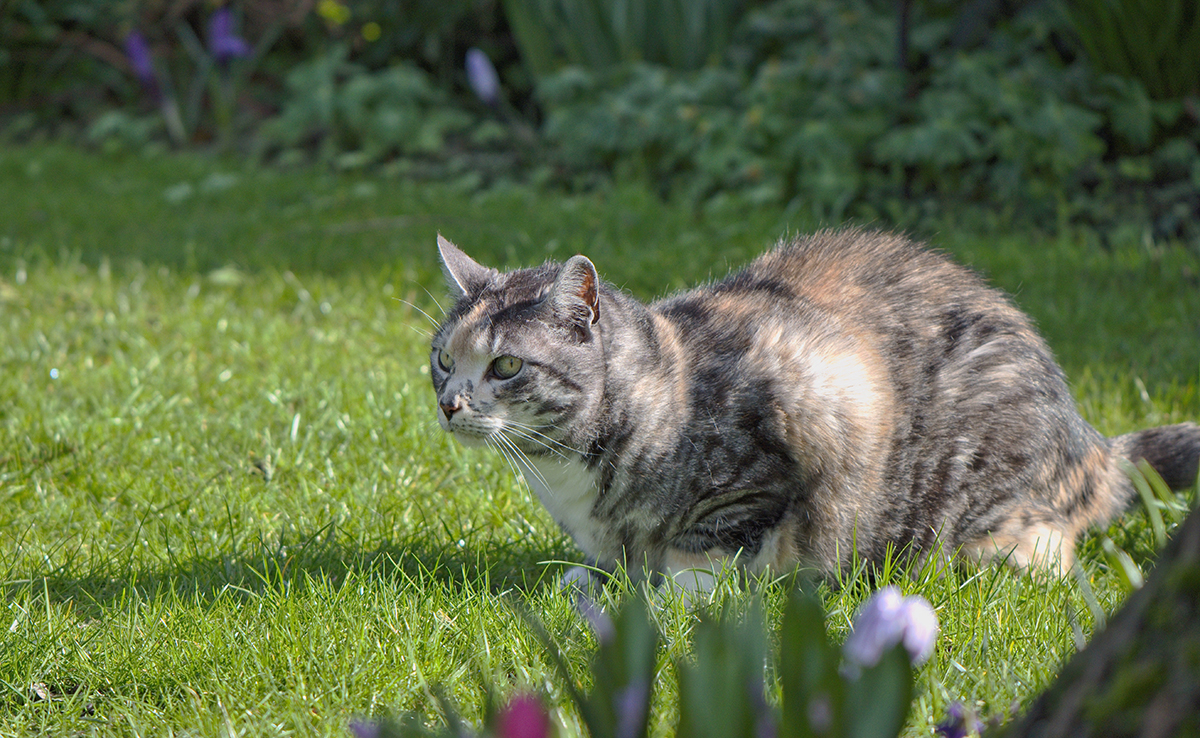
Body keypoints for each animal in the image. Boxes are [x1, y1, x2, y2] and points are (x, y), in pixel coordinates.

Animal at [432, 230, 1200, 595]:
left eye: (506, 366)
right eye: (442, 358)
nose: (448, 403)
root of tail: (1089, 446)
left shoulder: (801, 422)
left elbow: (708, 548)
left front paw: (673, 595)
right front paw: (594, 579)